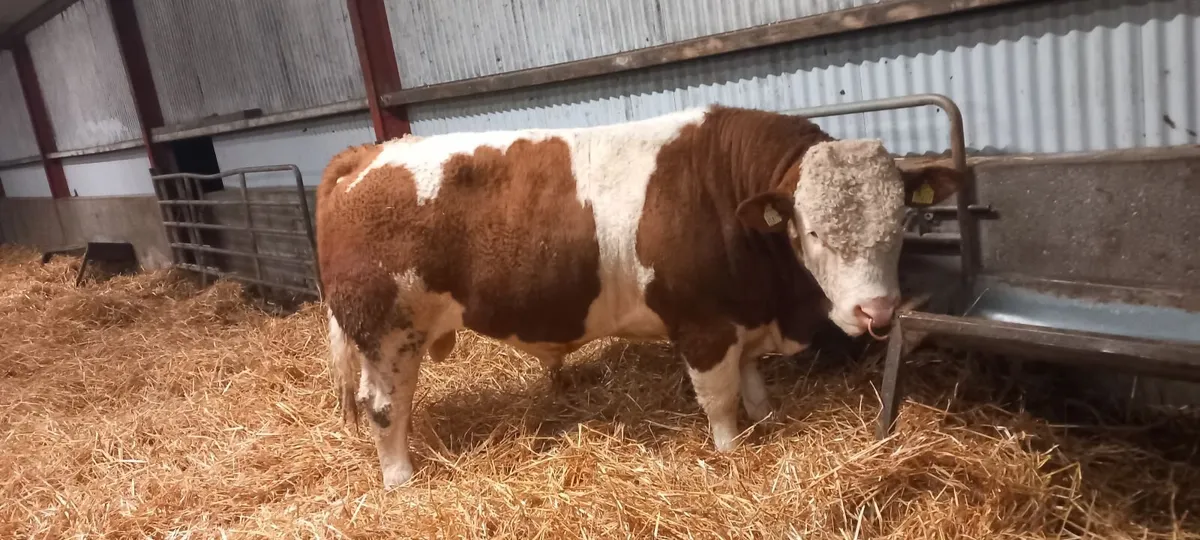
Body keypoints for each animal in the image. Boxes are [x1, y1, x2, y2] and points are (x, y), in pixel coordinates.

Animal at [317, 105, 962, 488]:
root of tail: (371, 152)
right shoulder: (703, 326)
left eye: (900, 223)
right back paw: (400, 479)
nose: (876, 311)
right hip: (387, 332)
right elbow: (719, 399)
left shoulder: (744, 317)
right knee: (384, 407)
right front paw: (731, 450)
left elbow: (752, 382)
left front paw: (767, 418)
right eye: (815, 232)